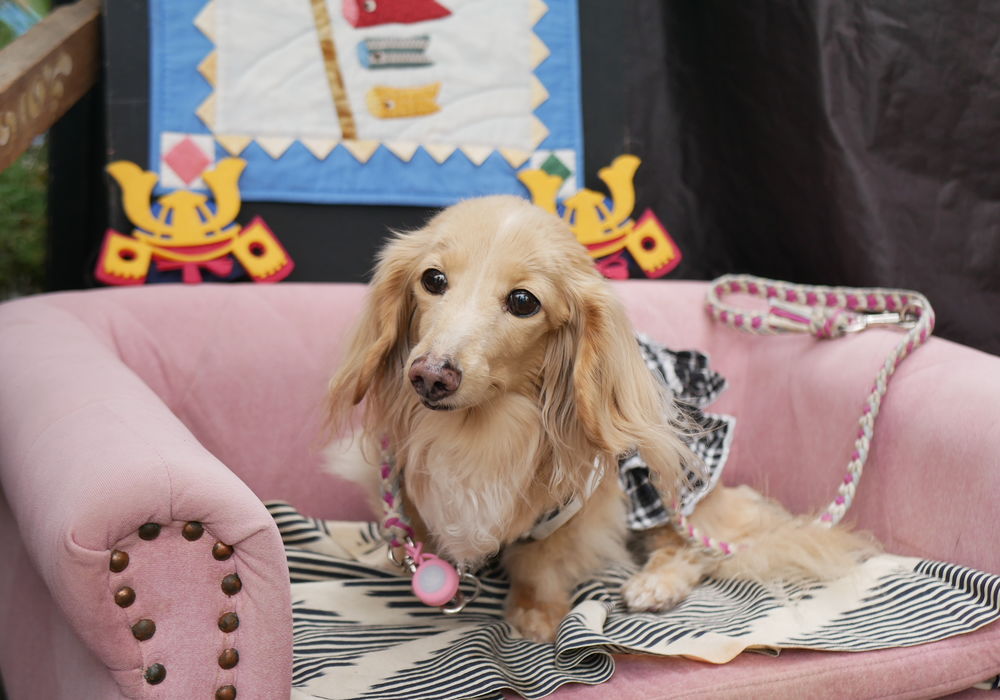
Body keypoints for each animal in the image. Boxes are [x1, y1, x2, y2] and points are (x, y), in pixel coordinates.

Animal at [326, 195, 876, 642]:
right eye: (433, 280)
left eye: (523, 301)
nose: (430, 376)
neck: (479, 432)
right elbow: (411, 526)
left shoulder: (575, 510)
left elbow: (543, 562)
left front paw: (536, 615)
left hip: (669, 487)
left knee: (705, 547)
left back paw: (656, 583)